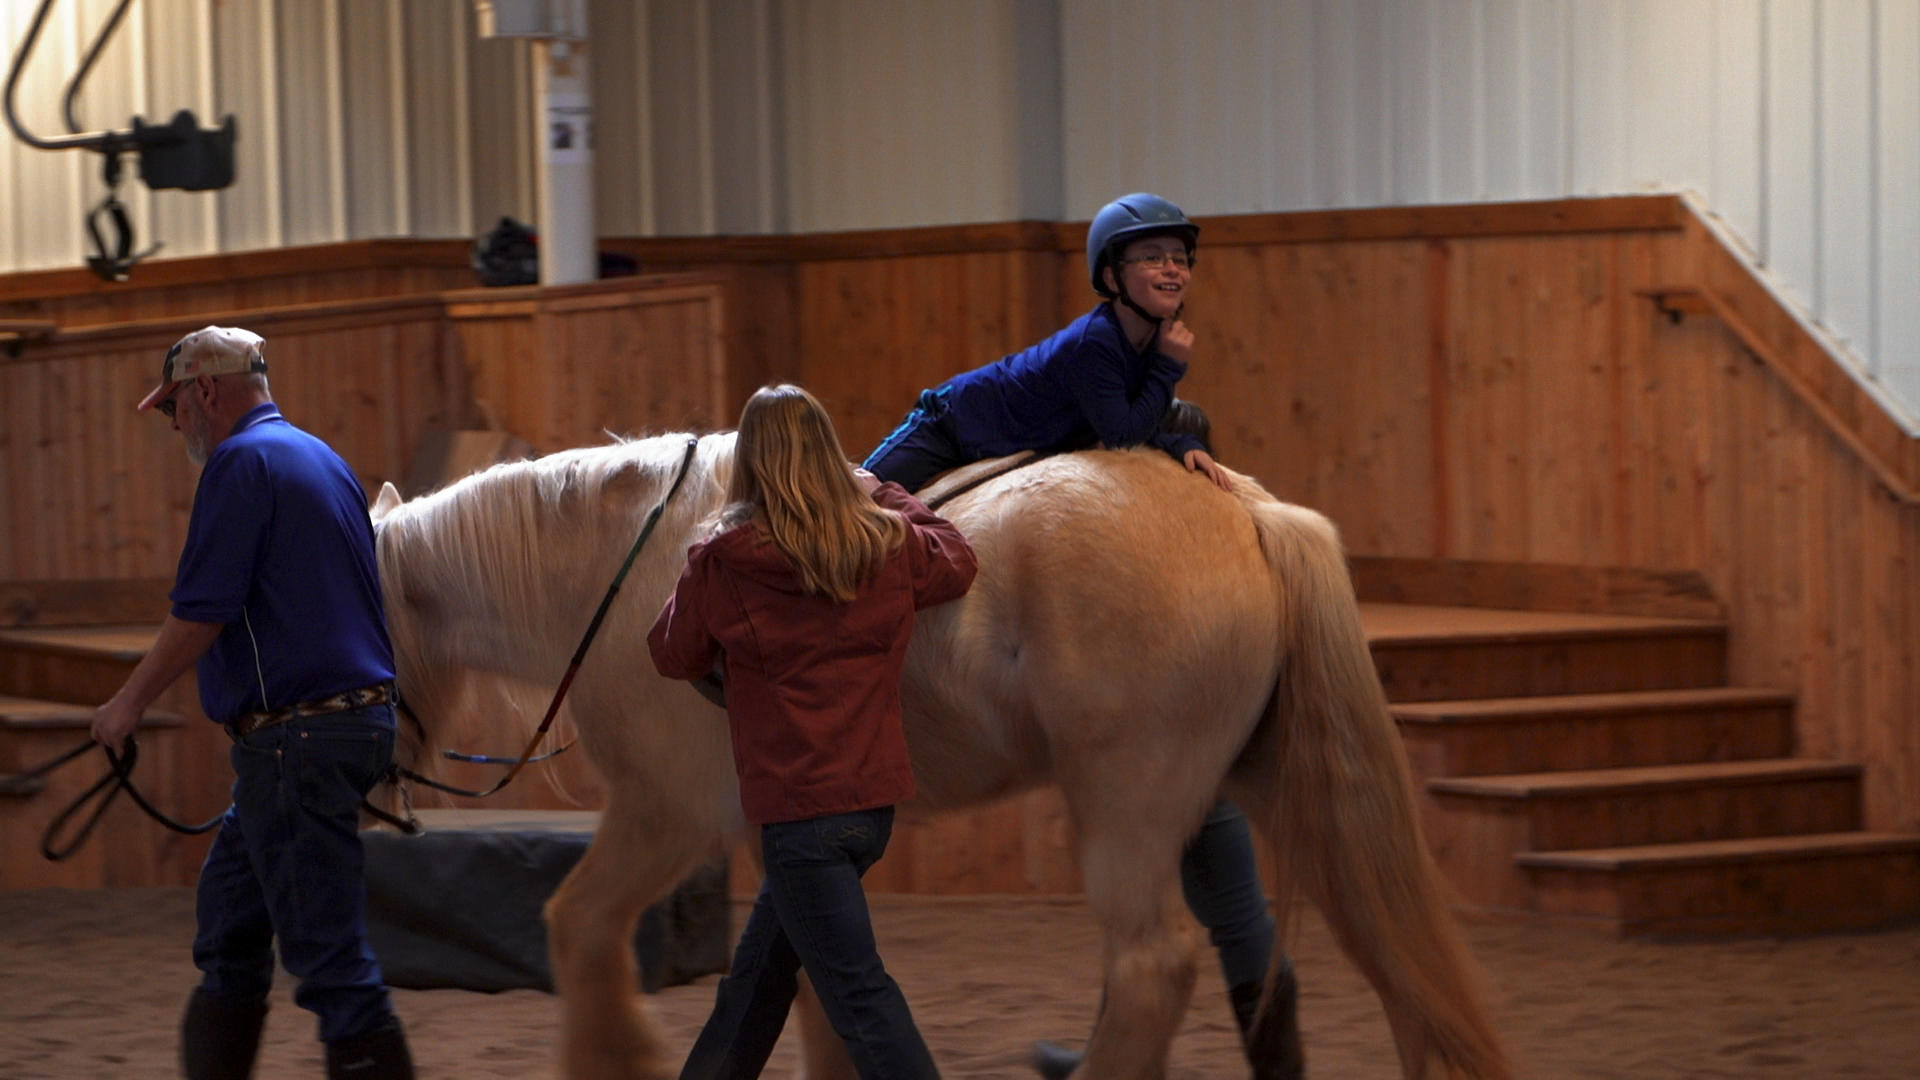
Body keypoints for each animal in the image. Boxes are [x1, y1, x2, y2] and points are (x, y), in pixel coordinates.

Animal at [368, 431, 1512, 1080]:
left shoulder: (668, 816)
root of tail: (1243, 512)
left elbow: (579, 924)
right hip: (1276, 786)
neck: (629, 570)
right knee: (1384, 951)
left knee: (1153, 968)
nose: (375, 789)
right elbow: (811, 986)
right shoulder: (778, 837)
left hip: (1130, 809)